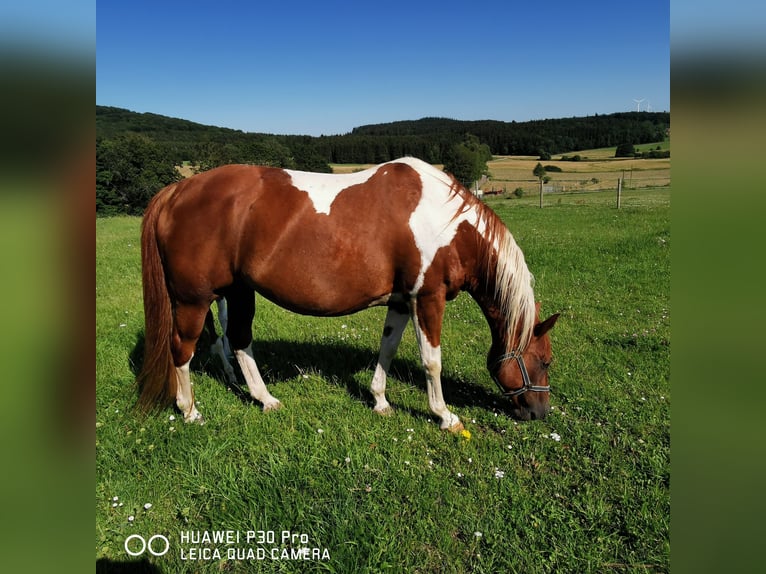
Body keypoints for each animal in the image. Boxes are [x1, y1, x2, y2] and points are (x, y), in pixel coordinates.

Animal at [137, 157, 559, 431]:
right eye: (545, 361)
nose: (539, 413)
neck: (447, 223)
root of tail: (177, 190)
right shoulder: (427, 298)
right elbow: (432, 363)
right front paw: (445, 416)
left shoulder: (401, 301)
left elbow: (387, 349)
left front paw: (380, 401)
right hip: (193, 300)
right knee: (183, 350)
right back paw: (189, 411)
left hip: (239, 291)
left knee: (239, 341)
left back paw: (265, 399)